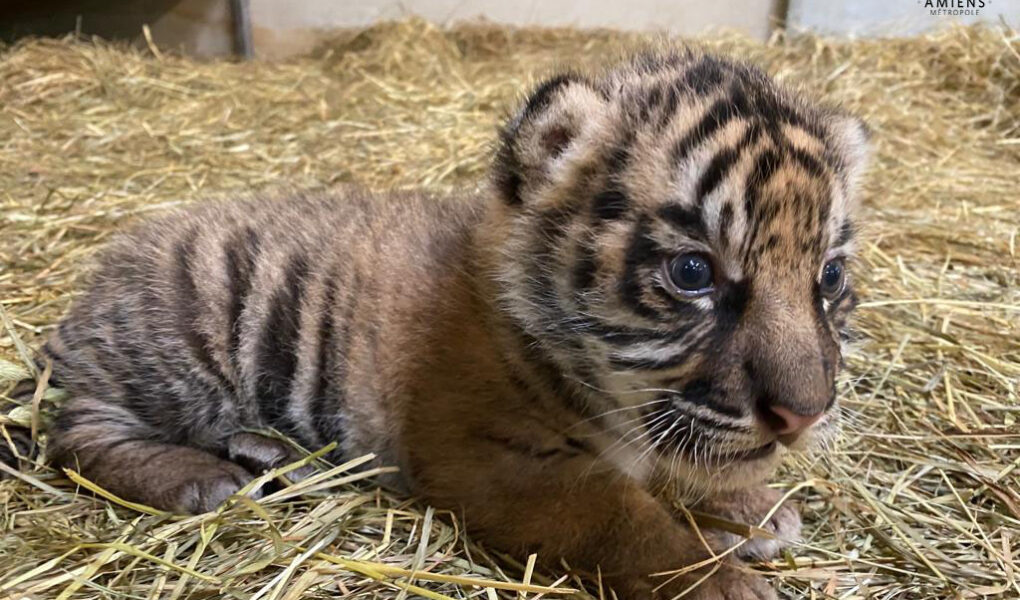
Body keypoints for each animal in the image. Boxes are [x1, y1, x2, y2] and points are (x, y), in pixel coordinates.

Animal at [27, 50, 868, 599]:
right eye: (693, 272)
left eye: (828, 278)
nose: (803, 416)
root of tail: (100, 276)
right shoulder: (498, 462)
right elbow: (625, 520)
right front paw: (720, 580)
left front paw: (750, 509)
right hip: (182, 335)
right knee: (78, 434)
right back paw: (199, 478)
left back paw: (270, 453)